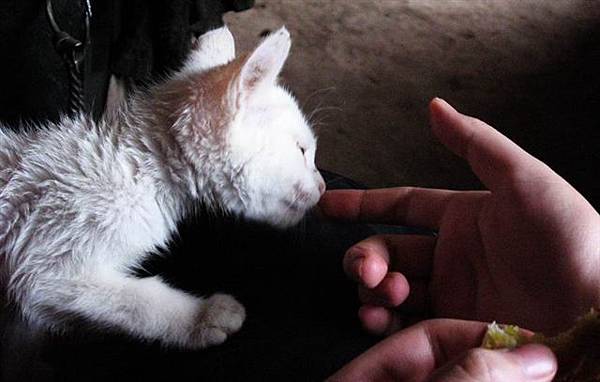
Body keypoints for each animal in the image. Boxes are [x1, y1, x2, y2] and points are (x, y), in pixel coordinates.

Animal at [0, 26, 324, 350]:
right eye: (302, 150)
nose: (322, 187)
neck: (140, 168)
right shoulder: (45, 257)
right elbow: (137, 301)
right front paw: (202, 317)